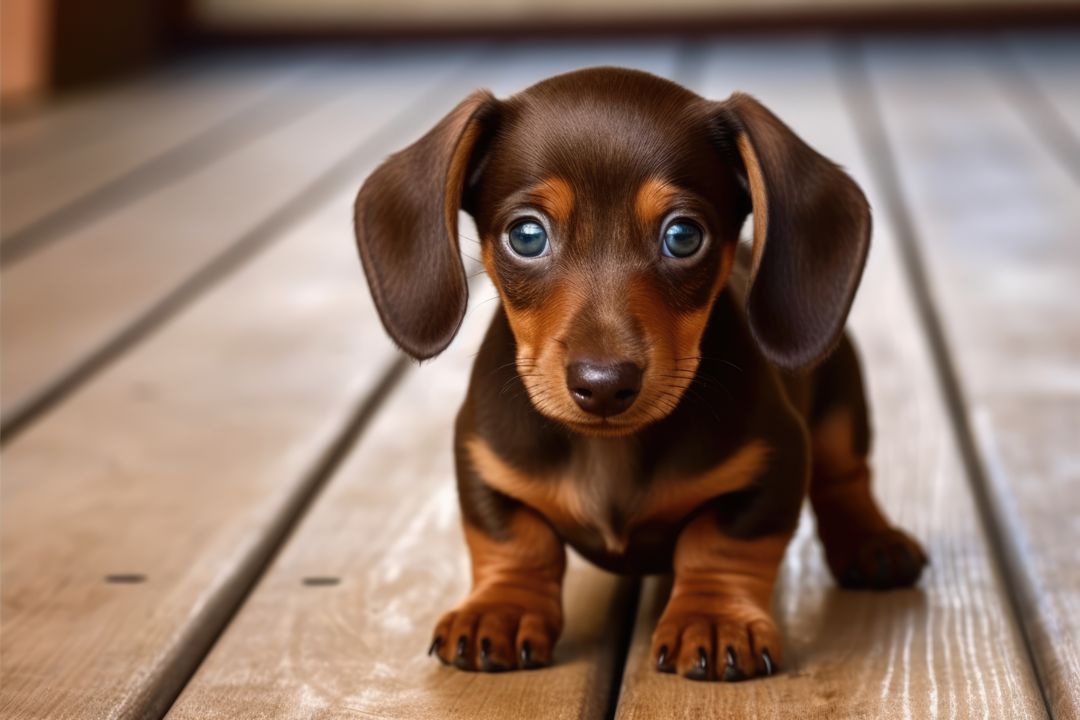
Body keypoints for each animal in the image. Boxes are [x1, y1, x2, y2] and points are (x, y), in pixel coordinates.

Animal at [354, 66, 928, 682]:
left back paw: (873, 542)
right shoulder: (482, 458)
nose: (604, 384)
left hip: (841, 401)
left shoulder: (775, 459)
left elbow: (721, 542)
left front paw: (714, 618)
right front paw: (500, 610)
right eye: (526, 236)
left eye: (683, 236)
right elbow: (513, 539)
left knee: (845, 476)